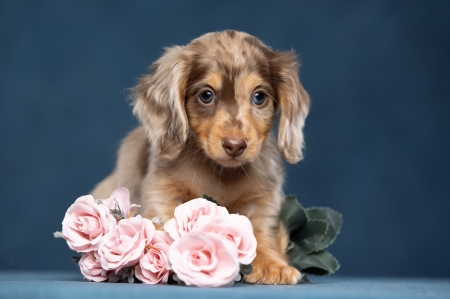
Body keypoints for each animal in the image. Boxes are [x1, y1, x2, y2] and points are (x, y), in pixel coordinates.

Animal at [91, 31, 310, 286]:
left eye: (259, 97)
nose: (235, 145)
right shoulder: (163, 192)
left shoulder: (262, 199)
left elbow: (261, 231)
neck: (220, 171)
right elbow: (164, 225)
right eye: (206, 95)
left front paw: (271, 263)